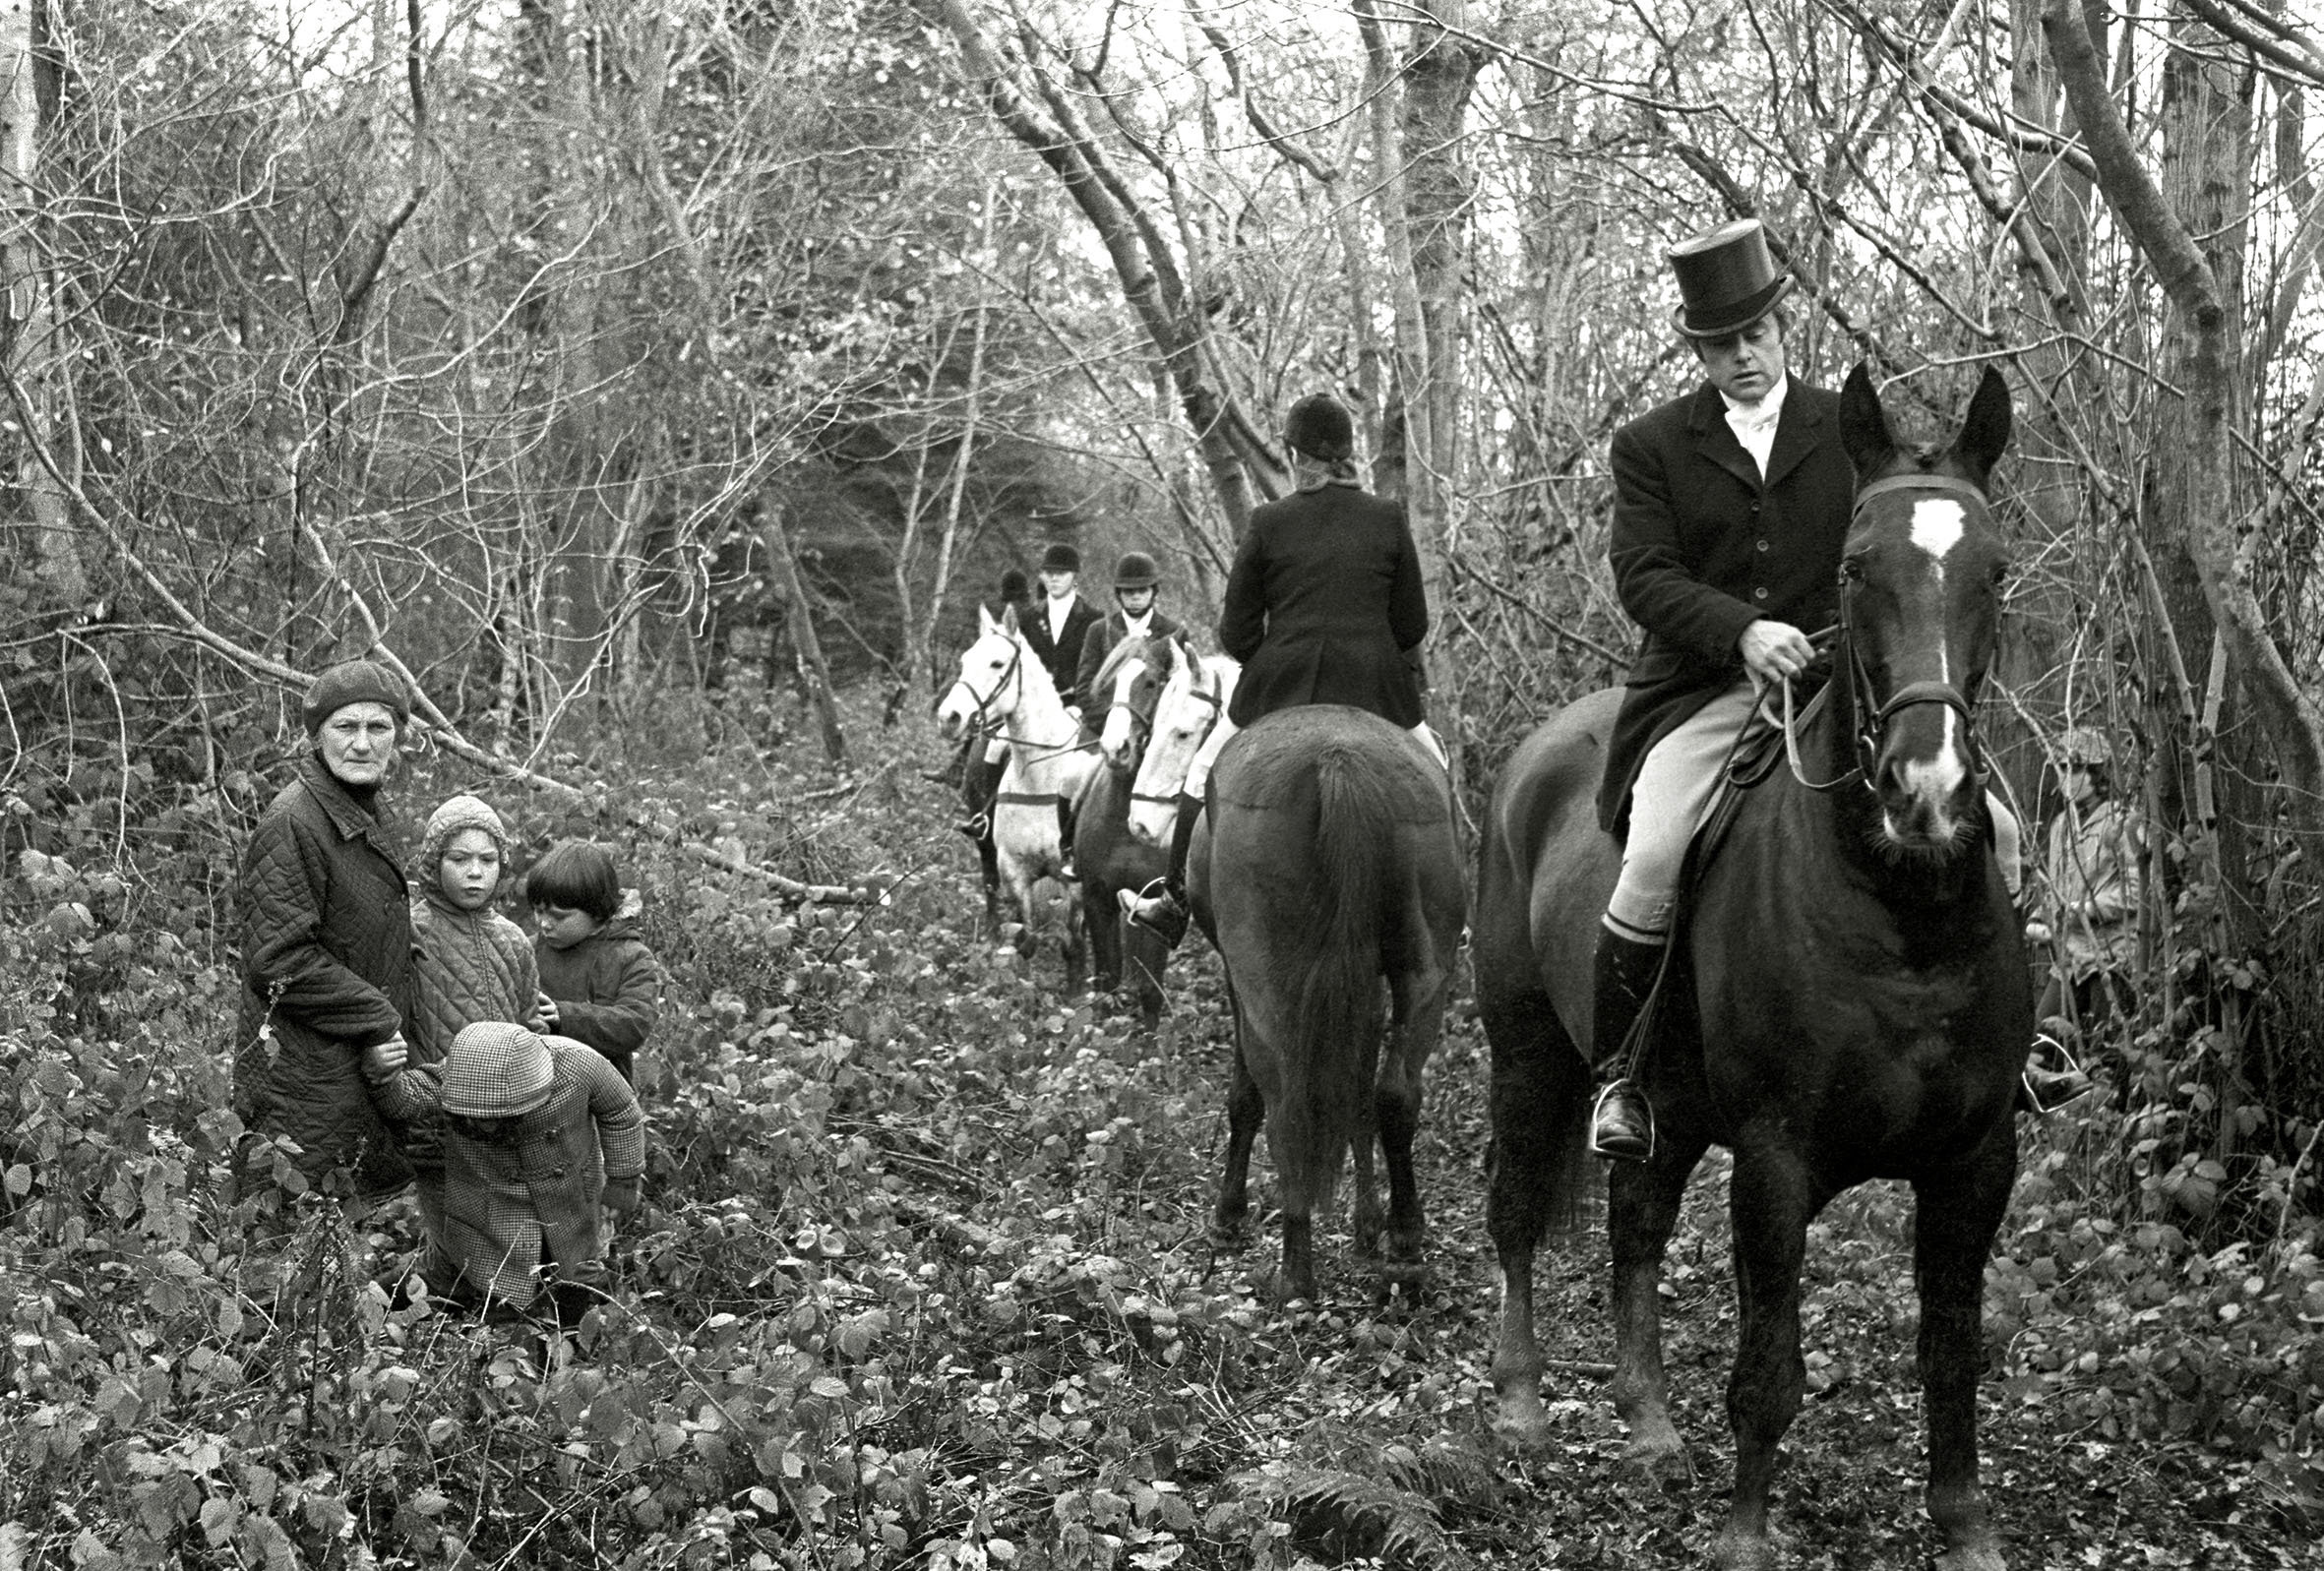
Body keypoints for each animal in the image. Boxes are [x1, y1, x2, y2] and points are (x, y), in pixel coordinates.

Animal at [934, 608, 1096, 976]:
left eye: (997, 663)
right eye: (964, 661)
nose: (949, 718)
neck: (1042, 777)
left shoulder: (1076, 883)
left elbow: (1076, 943)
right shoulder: (1015, 871)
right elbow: (1027, 936)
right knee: (989, 883)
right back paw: (993, 932)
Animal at [1190, 701, 1459, 1300]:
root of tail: (1339, 760)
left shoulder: (1236, 978)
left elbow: (1245, 1096)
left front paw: (1227, 1219)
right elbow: (1357, 1093)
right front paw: (1367, 1224)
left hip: (1262, 975)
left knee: (1283, 1100)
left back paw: (1295, 1272)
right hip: (1424, 968)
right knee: (1395, 1095)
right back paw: (1404, 1250)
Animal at [1478, 362, 2026, 1561]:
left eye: (1995, 570)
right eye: (1857, 569)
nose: (1926, 790)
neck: (1901, 916)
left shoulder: (1974, 1160)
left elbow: (1951, 1352)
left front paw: (1965, 1523)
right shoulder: (1776, 1159)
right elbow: (1769, 1369)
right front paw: (1743, 1536)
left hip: (1668, 1099)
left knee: (1636, 1218)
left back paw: (1644, 1422)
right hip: (1527, 1055)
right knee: (1516, 1211)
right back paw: (1522, 1400)